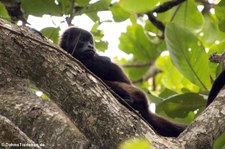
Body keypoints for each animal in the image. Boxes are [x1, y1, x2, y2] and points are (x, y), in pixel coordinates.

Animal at [59, 27, 225, 137]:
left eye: (90, 41)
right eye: (82, 40)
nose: (90, 46)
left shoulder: (96, 58)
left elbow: (110, 66)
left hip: (138, 93)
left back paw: (127, 101)